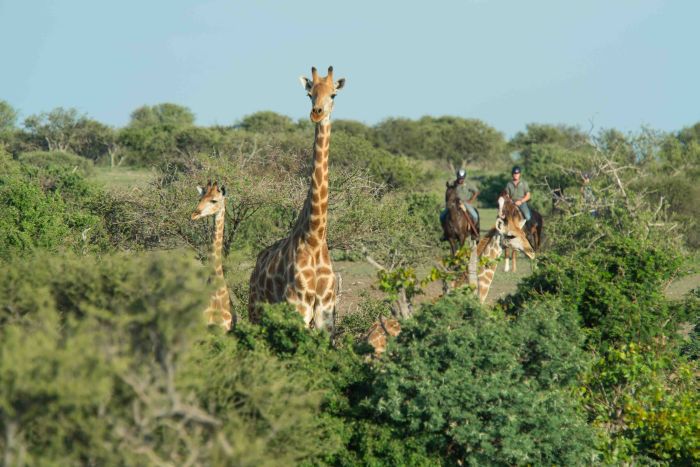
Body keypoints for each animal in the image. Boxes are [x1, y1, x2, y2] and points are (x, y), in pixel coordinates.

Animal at [250, 66, 346, 332]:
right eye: (309, 94)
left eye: (333, 94)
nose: (317, 113)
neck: (314, 237)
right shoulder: (298, 307)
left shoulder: (325, 312)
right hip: (255, 310)